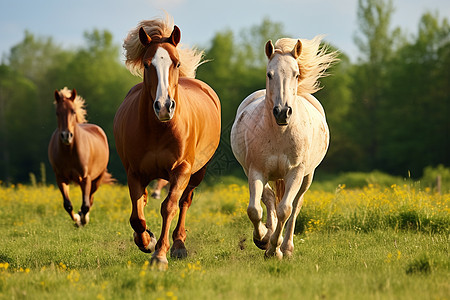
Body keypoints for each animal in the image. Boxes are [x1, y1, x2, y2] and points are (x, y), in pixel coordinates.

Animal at [48, 88, 111, 226]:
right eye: (57, 113)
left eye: (73, 111)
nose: (66, 136)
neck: (69, 152)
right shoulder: (60, 178)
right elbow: (67, 205)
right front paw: (77, 219)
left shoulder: (85, 178)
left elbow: (86, 204)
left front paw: (83, 219)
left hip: (97, 179)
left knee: (90, 199)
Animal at [114, 15, 221, 270]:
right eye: (146, 64)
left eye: (176, 63)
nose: (164, 106)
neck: (158, 129)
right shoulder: (134, 172)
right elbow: (136, 216)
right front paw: (147, 241)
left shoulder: (181, 170)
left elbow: (169, 206)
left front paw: (160, 254)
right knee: (143, 202)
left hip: (197, 173)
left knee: (184, 202)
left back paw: (179, 245)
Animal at [230, 37, 336, 258]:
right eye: (269, 74)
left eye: (296, 73)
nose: (282, 112)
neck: (280, 133)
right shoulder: (256, 171)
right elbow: (254, 210)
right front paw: (263, 239)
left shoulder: (296, 173)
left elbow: (285, 210)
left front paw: (275, 250)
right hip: (254, 171)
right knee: (269, 198)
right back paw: (268, 235)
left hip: (307, 176)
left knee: (295, 206)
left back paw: (286, 247)